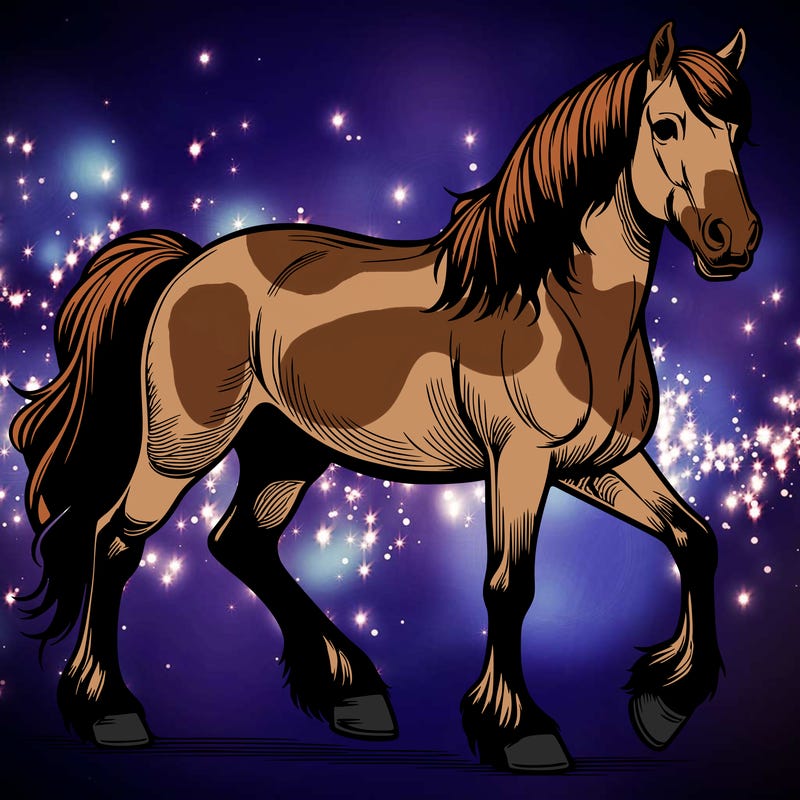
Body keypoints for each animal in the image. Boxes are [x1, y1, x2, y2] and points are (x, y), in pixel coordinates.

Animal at [10, 21, 760, 772]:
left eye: (736, 131)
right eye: (665, 125)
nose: (734, 239)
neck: (556, 309)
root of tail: (188, 265)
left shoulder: (598, 463)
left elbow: (696, 540)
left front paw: (663, 705)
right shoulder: (520, 462)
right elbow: (509, 586)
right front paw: (521, 731)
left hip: (287, 451)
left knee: (242, 541)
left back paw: (354, 694)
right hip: (181, 446)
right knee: (115, 542)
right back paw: (111, 712)